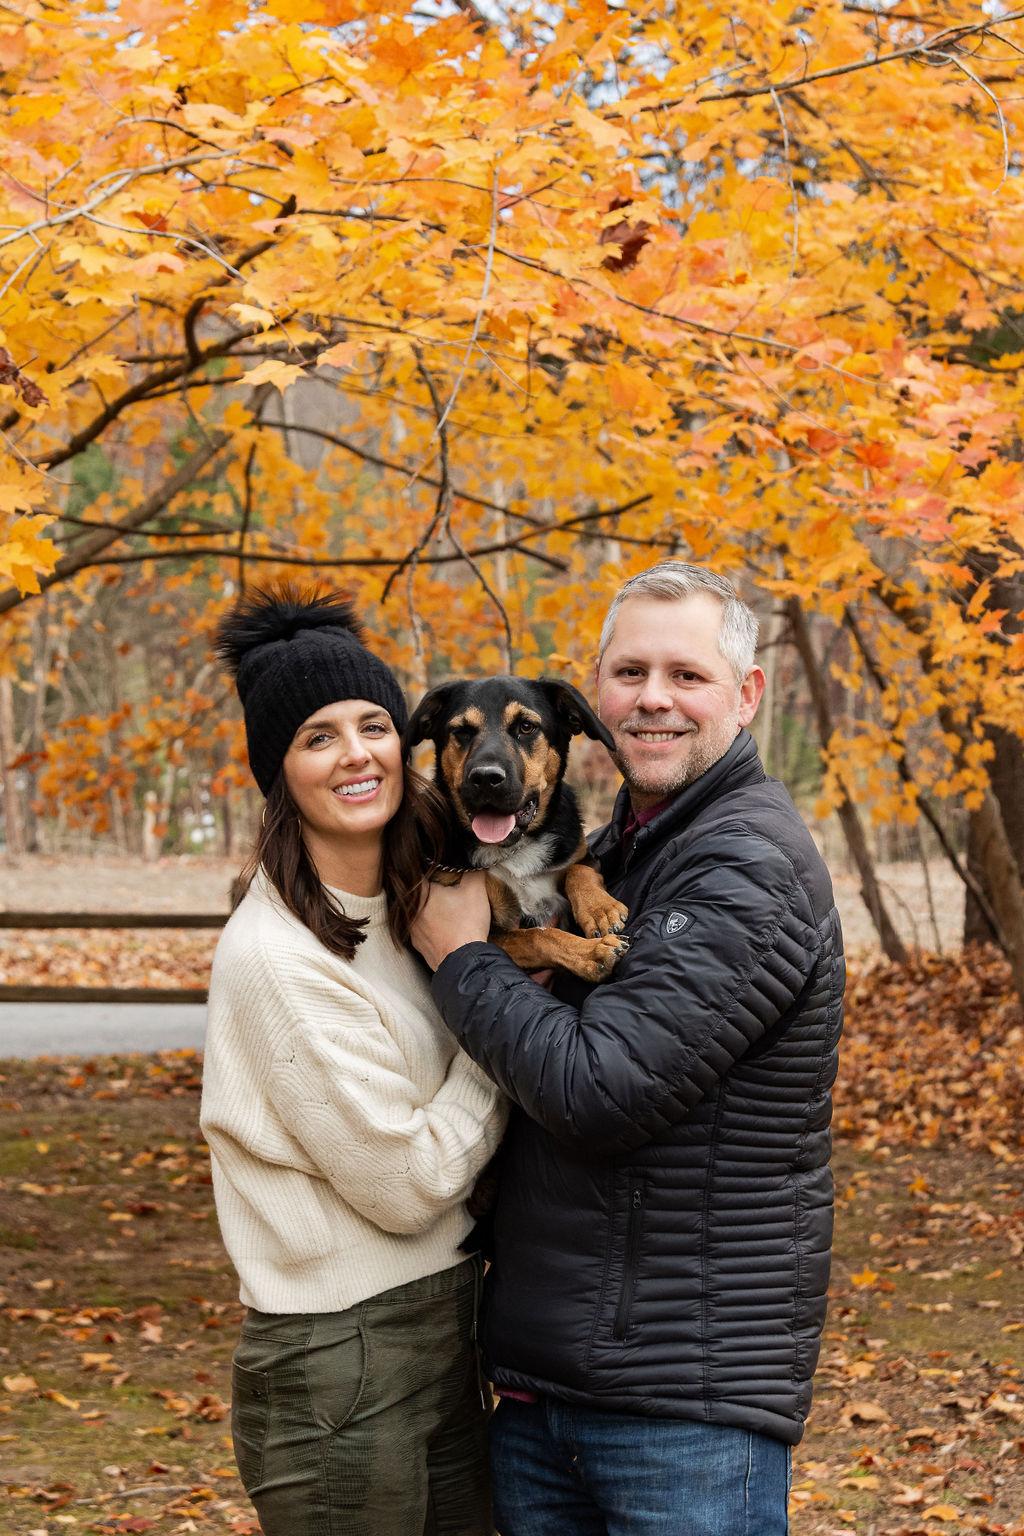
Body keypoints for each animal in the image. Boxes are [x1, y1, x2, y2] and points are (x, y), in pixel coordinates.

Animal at [402, 675, 629, 983]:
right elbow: (538, 936)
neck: (515, 849)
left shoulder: (582, 854)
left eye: (526, 727)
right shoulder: (491, 932)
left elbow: (578, 871)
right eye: (462, 731)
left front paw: (601, 909)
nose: (486, 778)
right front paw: (591, 953)